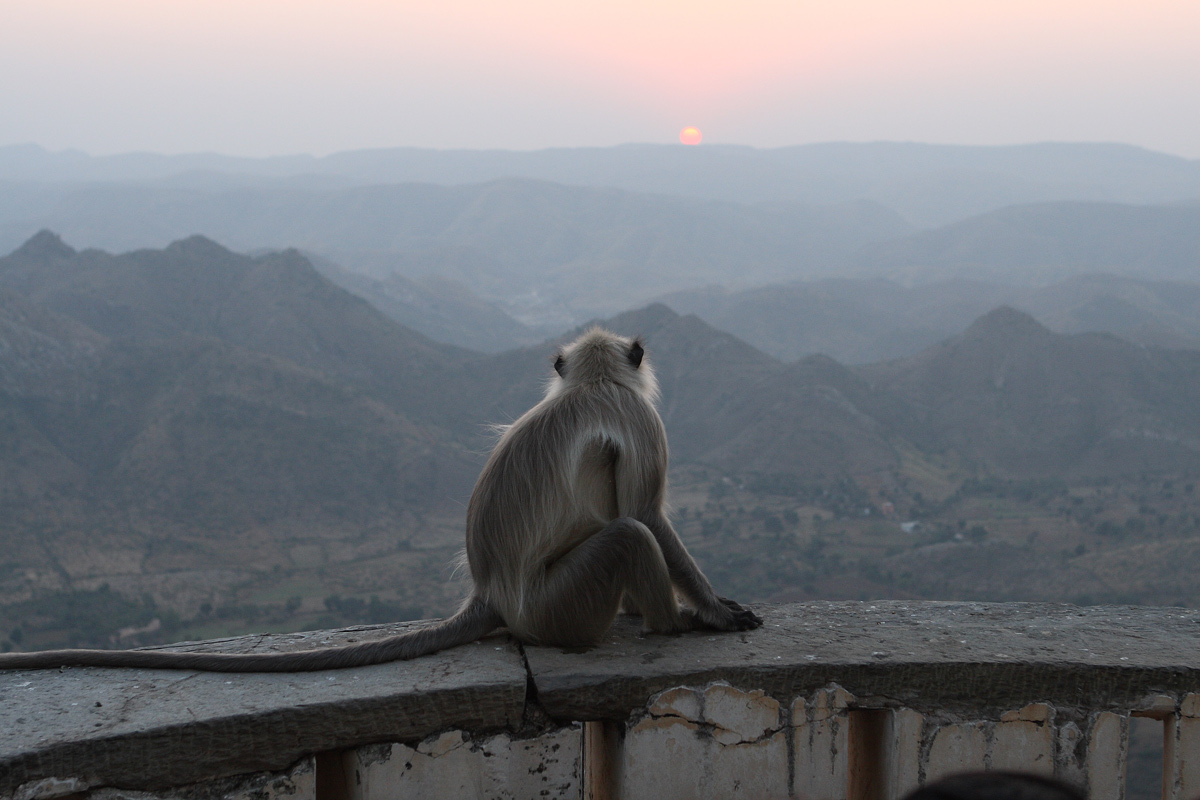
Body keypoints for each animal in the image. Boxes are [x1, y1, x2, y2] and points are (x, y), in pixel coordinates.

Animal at [0, 328, 763, 671]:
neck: (593, 384)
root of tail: (492, 594)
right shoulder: (640, 420)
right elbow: (652, 517)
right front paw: (714, 613)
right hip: (557, 607)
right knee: (630, 535)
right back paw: (668, 624)